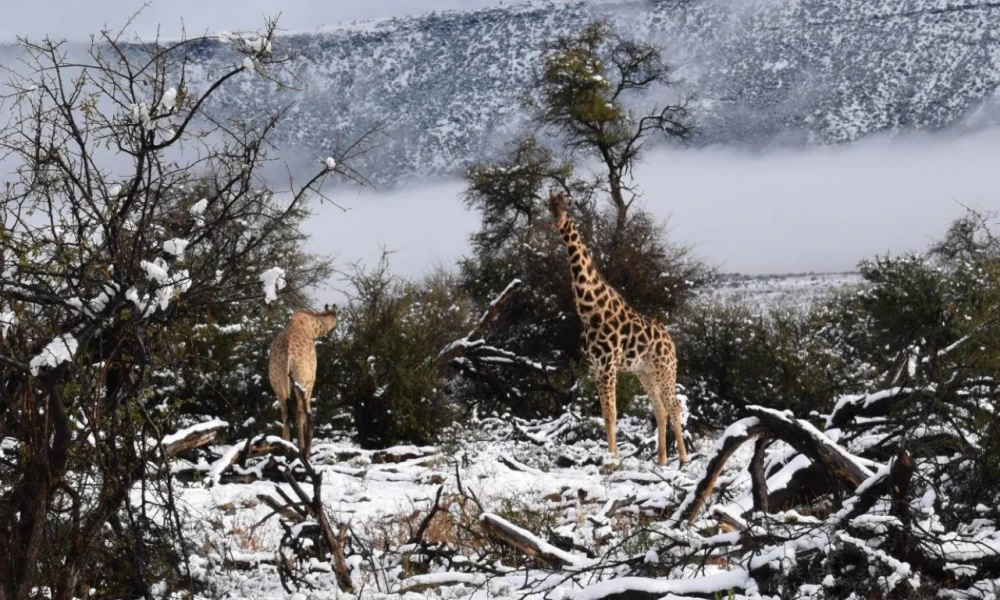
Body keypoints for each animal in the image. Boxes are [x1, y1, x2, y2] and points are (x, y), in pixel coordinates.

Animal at [268, 304, 338, 454]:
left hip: (277, 381)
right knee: (299, 412)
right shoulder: (311, 378)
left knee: (285, 413)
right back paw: (301, 448)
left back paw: (285, 446)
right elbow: (308, 411)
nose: (334, 329)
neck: (311, 328)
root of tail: (287, 353)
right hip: (301, 379)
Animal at [548, 190, 688, 466]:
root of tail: (670, 341)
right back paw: (662, 461)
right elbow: (604, 414)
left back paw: (684, 459)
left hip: (665, 369)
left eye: (566, 207)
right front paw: (610, 457)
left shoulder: (608, 364)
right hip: (645, 372)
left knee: (674, 405)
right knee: (660, 409)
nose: (557, 224)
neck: (589, 309)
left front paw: (612, 460)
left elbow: (612, 413)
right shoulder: (595, 367)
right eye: (549, 207)